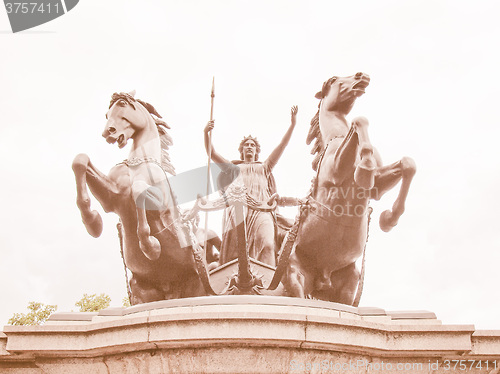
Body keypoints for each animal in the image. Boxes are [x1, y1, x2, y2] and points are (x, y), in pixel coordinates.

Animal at [71, 92, 212, 306]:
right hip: (143, 292)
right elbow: (80, 160)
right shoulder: (112, 199)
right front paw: (93, 222)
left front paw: (151, 247)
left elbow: (138, 191)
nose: (108, 133)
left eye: (122, 104)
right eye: (106, 114)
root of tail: (171, 289)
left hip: (197, 288)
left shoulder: (161, 205)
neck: (138, 161)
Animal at [284, 72, 416, 304]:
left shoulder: (377, 187)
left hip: (349, 284)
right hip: (294, 274)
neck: (337, 137)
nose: (361, 75)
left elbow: (408, 164)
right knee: (297, 295)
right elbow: (360, 120)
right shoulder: (336, 172)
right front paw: (364, 167)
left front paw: (389, 218)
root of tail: (322, 278)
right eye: (334, 79)